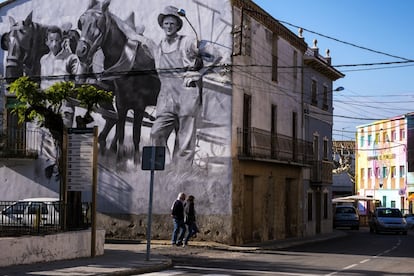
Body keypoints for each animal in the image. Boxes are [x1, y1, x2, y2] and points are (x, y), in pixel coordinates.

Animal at [77, 0, 161, 164]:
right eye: (81, 22)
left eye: (99, 23)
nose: (80, 51)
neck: (130, 63)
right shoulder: (121, 104)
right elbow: (120, 131)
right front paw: (118, 159)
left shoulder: (139, 106)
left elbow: (135, 136)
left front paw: (136, 163)